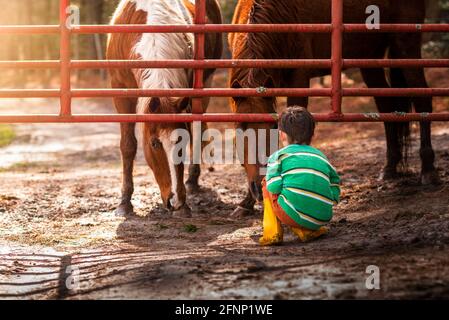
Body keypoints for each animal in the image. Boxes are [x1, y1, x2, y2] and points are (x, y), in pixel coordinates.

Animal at [107, 0, 222, 218]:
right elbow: (128, 146)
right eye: (154, 144)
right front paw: (125, 203)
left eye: (181, 143)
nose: (175, 201)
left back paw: (192, 181)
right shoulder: (120, 94)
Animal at [229, 0, 440, 218]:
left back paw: (428, 170)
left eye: (273, 126)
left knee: (423, 100)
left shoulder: (299, 78)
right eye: (239, 128)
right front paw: (245, 203)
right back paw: (389, 168)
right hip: (370, 59)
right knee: (385, 106)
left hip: (406, 46)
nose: (259, 187)